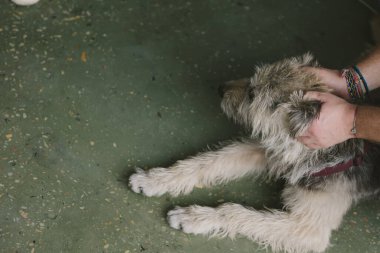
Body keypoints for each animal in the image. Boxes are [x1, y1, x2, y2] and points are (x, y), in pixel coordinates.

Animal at [128, 55, 380, 253]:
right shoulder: (267, 148)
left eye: (252, 94)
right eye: (252, 81)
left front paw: (194, 216)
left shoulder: (308, 228)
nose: (221, 88)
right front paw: (154, 179)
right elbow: (209, 162)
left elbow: (234, 211)